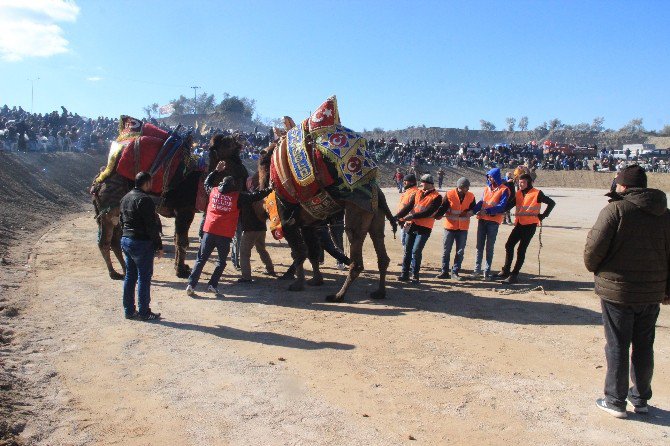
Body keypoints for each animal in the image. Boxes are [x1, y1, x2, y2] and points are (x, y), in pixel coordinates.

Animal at [93, 116, 248, 278]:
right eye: (227, 143)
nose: (240, 136)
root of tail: (99, 181)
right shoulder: (184, 210)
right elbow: (182, 241)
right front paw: (181, 271)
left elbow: (176, 239)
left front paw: (182, 267)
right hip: (110, 209)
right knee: (105, 241)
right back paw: (114, 273)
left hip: (118, 212)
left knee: (116, 240)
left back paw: (123, 269)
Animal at [256, 96, 394, 302]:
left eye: (262, 160)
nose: (260, 187)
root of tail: (376, 192)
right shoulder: (308, 223)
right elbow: (311, 252)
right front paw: (315, 280)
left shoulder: (288, 222)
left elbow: (299, 252)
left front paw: (297, 284)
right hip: (376, 218)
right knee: (382, 256)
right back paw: (379, 292)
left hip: (357, 215)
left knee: (357, 260)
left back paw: (338, 295)